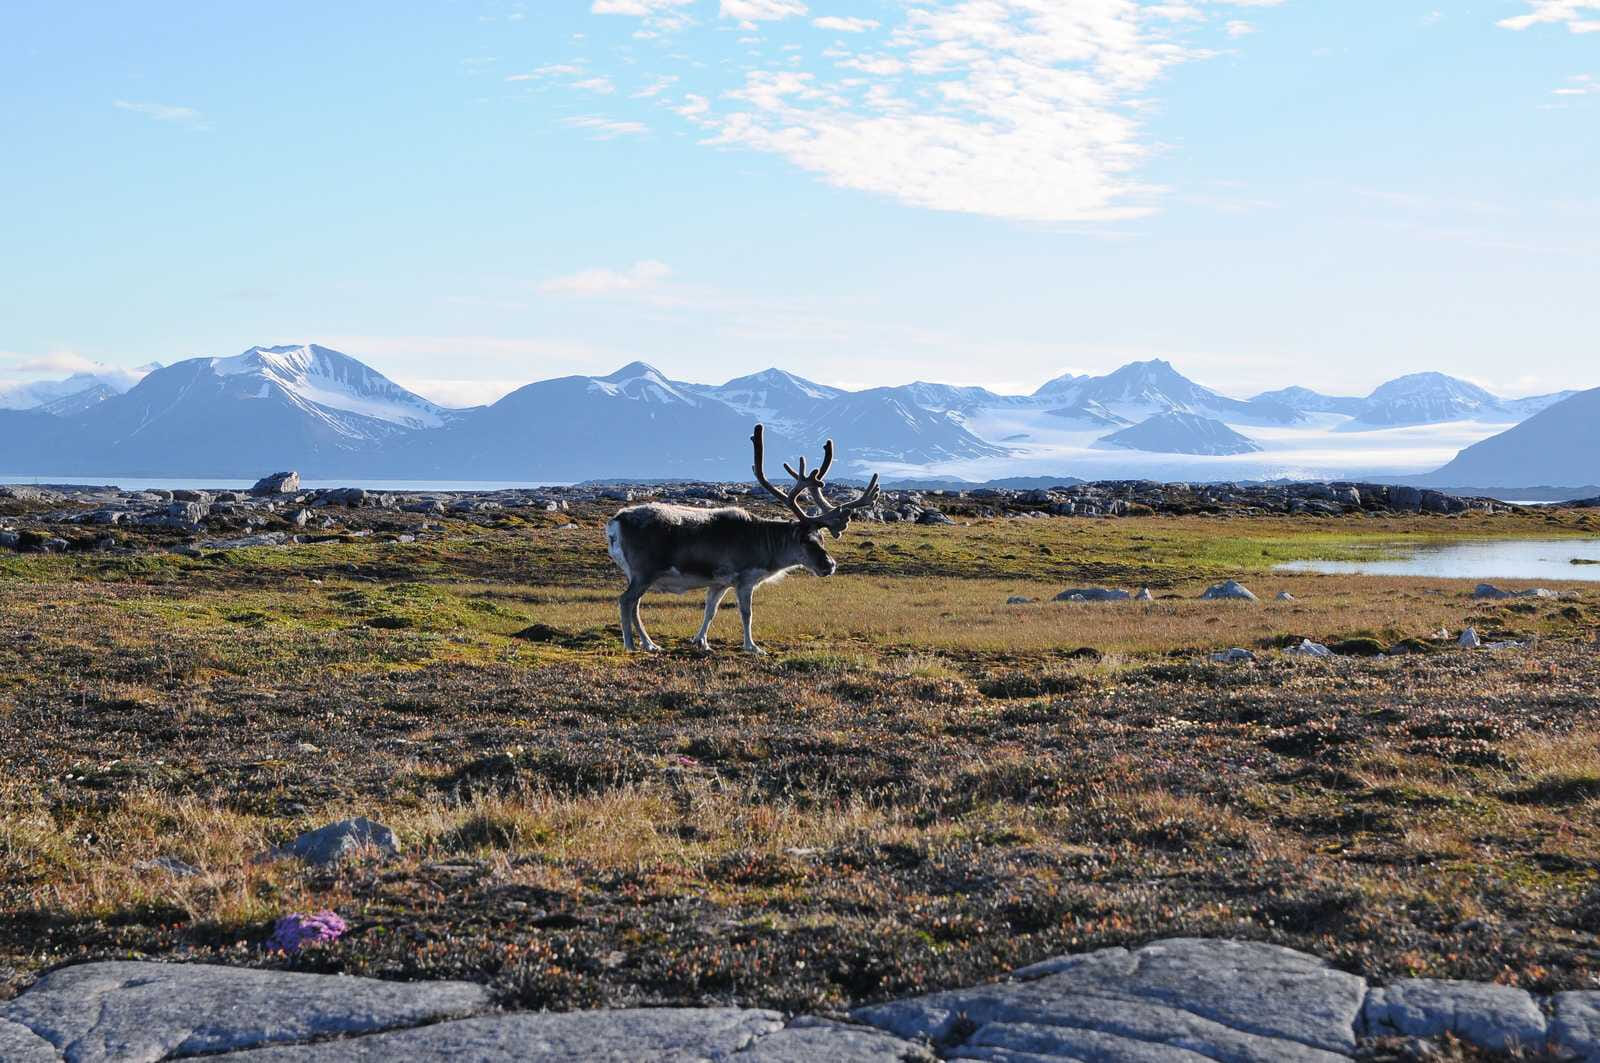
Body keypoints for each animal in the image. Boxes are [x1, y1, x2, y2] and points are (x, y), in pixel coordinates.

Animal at [606, 424, 881, 654]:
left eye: (821, 538)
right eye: (804, 539)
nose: (830, 565)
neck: (767, 546)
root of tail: (614, 524)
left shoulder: (719, 582)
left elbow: (710, 611)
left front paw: (701, 641)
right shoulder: (745, 578)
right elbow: (747, 613)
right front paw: (752, 647)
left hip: (641, 575)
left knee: (634, 605)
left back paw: (649, 643)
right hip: (644, 571)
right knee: (626, 601)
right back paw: (633, 644)